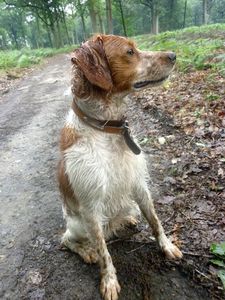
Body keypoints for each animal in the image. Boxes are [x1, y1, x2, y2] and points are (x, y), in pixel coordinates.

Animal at [57, 35, 182, 300]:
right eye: (129, 52)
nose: (173, 55)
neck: (106, 130)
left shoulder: (139, 184)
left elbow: (155, 221)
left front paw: (167, 246)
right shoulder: (90, 207)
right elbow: (104, 252)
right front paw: (109, 280)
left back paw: (129, 220)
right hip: (77, 225)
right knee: (67, 240)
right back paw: (86, 251)